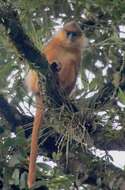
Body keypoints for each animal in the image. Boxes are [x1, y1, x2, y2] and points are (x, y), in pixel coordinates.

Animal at [25, 21, 87, 189]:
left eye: (74, 34)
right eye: (68, 32)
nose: (71, 37)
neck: (66, 46)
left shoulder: (78, 55)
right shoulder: (51, 44)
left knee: (69, 64)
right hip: (37, 81)